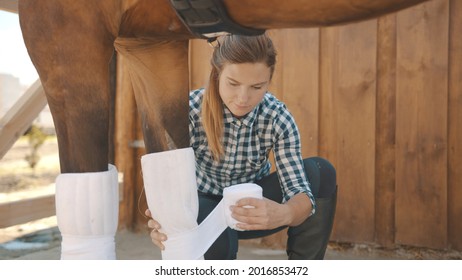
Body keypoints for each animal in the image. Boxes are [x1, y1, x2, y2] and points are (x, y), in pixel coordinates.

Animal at [17, 0, 430, 260]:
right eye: (233, 84)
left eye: (254, 87)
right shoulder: (150, 41)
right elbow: (177, 208)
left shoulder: (64, 31)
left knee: (317, 174)